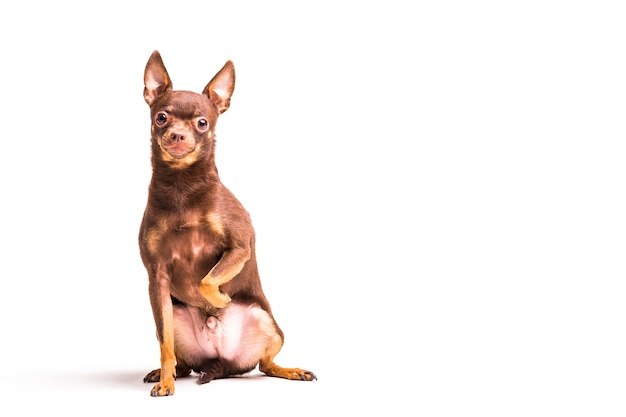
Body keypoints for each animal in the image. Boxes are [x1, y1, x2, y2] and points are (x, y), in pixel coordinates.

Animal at [136, 50, 312, 394]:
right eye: (161, 117)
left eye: (202, 123)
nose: (177, 135)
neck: (181, 187)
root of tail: (221, 362)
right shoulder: (156, 277)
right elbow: (165, 342)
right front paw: (166, 383)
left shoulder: (239, 248)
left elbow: (207, 280)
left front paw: (219, 298)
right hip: (176, 314)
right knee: (180, 358)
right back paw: (167, 373)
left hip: (266, 322)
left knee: (265, 364)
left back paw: (290, 370)